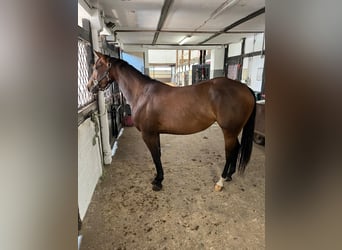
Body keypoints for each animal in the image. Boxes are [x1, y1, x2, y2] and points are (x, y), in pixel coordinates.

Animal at [87, 50, 255, 191]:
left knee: (230, 152)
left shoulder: (148, 134)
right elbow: (158, 155)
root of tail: (245, 88)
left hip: (229, 131)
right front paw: (158, 178)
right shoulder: (155, 133)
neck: (142, 93)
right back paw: (229, 176)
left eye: (97, 66)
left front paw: (158, 182)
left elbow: (155, 156)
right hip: (233, 131)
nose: (89, 87)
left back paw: (220, 181)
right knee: (236, 148)